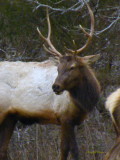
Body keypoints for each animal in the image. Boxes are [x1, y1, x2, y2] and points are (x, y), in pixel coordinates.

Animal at [0, 2, 101, 160]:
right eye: (58, 68)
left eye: (72, 67)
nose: (56, 87)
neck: (84, 102)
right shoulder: (65, 117)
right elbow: (71, 149)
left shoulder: (69, 120)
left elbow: (64, 148)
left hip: (10, 117)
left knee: (3, 149)